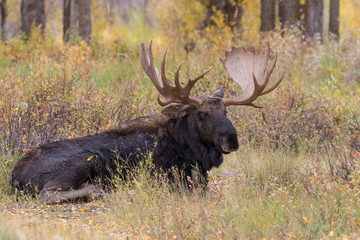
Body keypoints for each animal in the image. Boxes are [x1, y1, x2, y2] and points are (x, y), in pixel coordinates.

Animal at [10, 41, 284, 204]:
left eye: (226, 111)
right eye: (202, 114)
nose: (232, 140)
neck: (193, 151)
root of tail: (14, 178)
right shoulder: (168, 178)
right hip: (84, 160)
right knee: (47, 194)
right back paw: (95, 190)